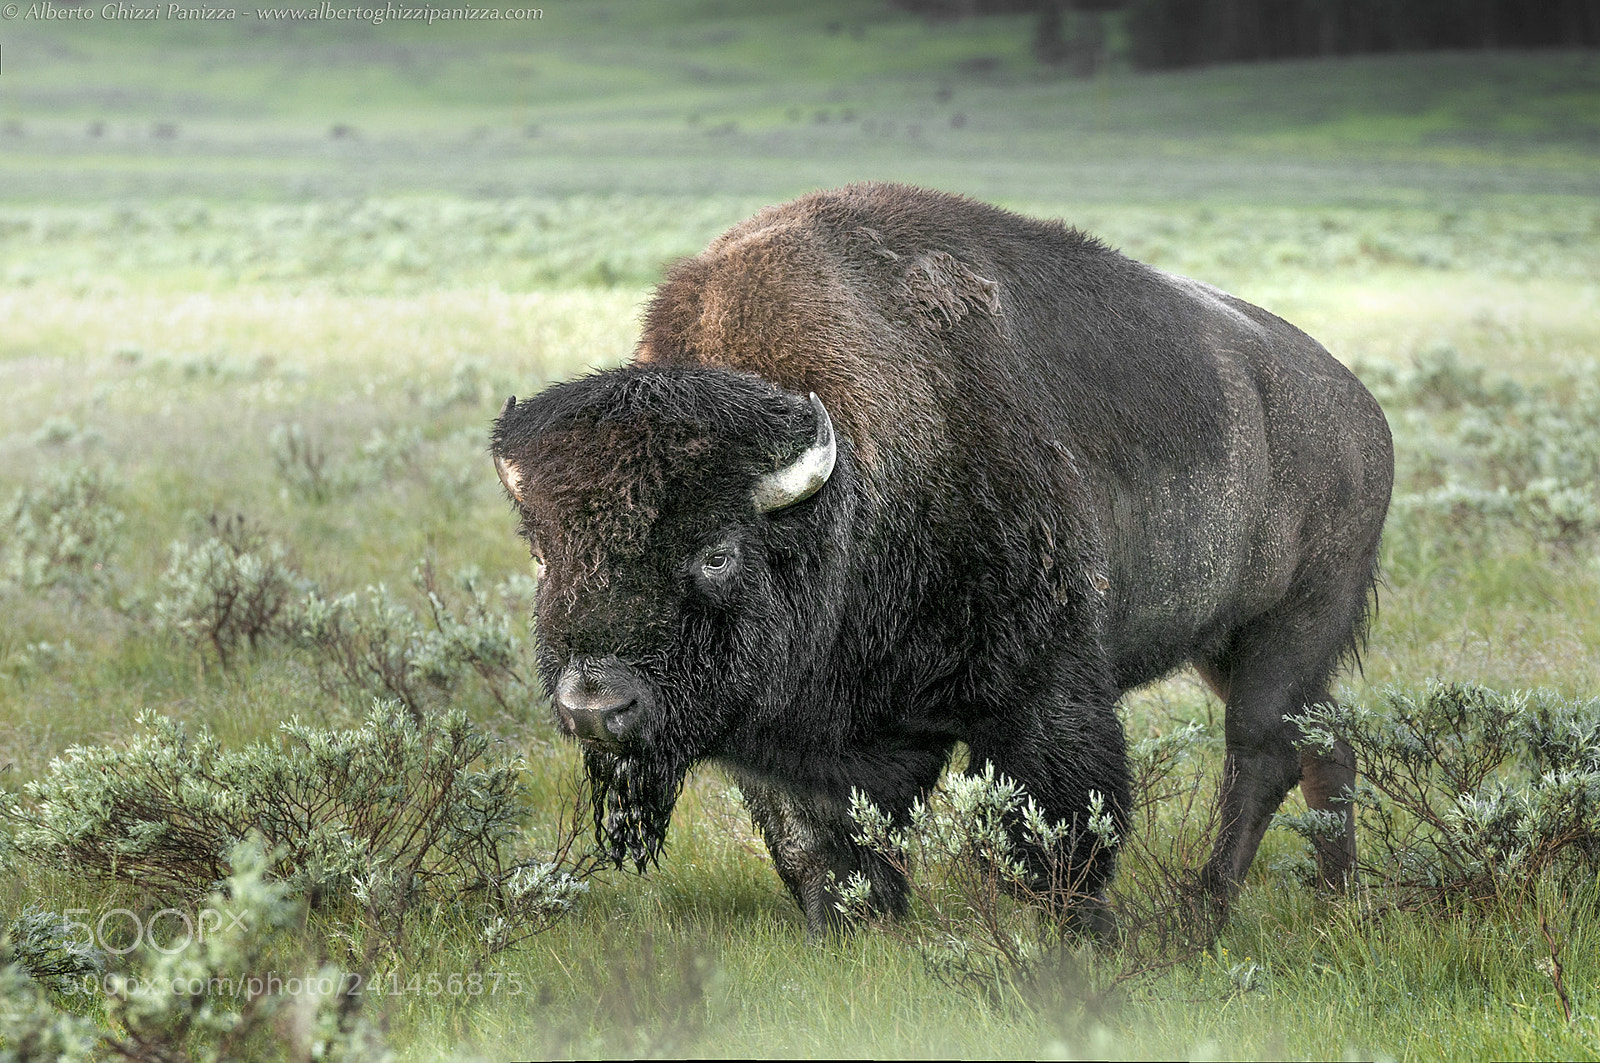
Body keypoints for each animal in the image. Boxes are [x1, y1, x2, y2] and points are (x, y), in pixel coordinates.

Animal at [490, 183, 1393, 933]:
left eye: (716, 552)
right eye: (542, 549)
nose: (594, 704)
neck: (847, 485)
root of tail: (1362, 410)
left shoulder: (1040, 688)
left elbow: (1059, 827)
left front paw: (1078, 932)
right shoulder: (790, 735)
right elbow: (818, 842)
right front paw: (856, 920)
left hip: (1290, 626)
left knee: (1262, 749)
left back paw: (1202, 914)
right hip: (1230, 645)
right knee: (1326, 745)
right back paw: (1335, 900)